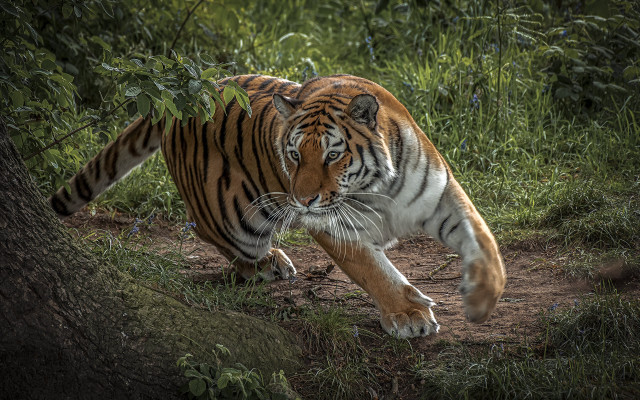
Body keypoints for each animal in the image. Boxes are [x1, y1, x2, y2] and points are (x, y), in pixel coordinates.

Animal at [49, 74, 506, 338]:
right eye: (293, 155)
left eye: (332, 155)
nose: (301, 200)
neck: (378, 186)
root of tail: (180, 98)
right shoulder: (334, 225)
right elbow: (373, 270)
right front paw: (409, 315)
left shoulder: (442, 194)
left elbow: (482, 239)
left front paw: (483, 296)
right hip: (233, 219)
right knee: (218, 238)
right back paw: (268, 262)